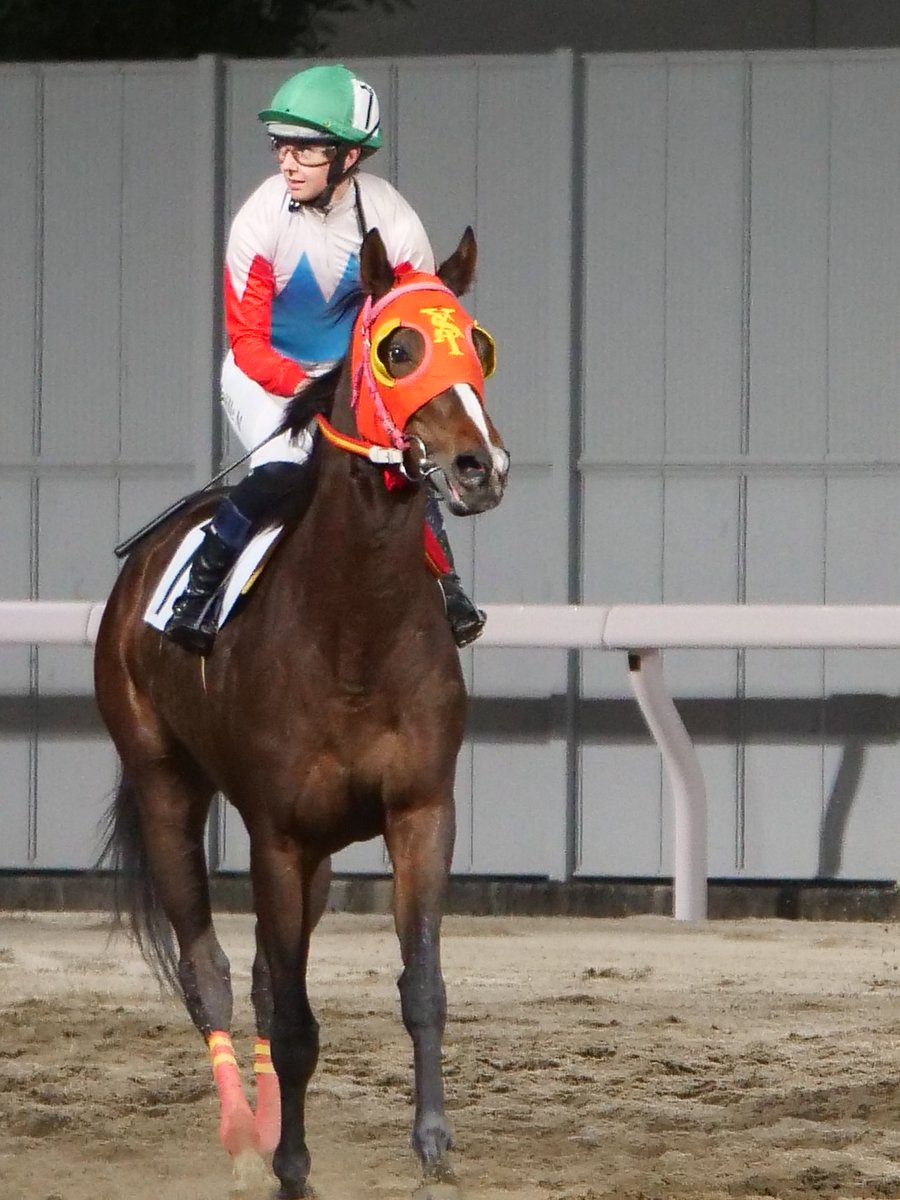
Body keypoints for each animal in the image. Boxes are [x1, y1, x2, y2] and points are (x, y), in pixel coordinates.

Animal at [93, 226, 509, 1198]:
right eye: (398, 348)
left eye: (478, 345)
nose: (480, 467)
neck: (353, 628)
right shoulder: (275, 834)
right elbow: (290, 1017)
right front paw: (288, 1163)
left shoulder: (420, 811)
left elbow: (420, 985)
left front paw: (434, 1144)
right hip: (166, 786)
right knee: (208, 970)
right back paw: (245, 1138)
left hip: (316, 854)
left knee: (259, 977)